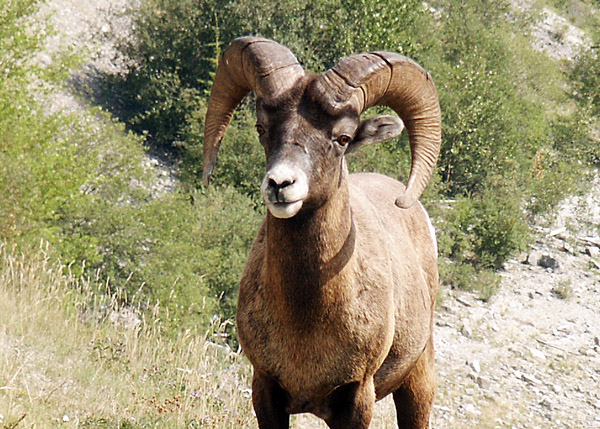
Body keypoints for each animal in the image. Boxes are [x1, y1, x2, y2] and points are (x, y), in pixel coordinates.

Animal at [204, 37, 442, 428]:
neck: (306, 320)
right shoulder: (265, 389)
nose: (280, 184)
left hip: (418, 383)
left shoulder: (357, 398)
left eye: (342, 138)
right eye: (262, 128)